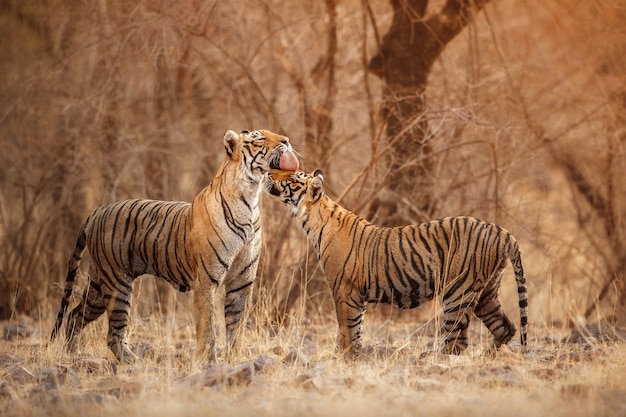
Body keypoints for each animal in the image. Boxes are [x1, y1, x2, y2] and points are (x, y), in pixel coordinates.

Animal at [50, 128, 298, 362]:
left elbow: (236, 326)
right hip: (117, 284)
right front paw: (208, 361)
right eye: (259, 139)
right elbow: (207, 326)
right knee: (113, 334)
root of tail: (97, 211)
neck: (251, 198)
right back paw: (135, 363)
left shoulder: (242, 281)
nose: (287, 140)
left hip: (99, 285)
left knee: (74, 315)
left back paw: (72, 354)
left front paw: (234, 359)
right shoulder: (205, 280)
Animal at [266, 167, 524, 356]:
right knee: (505, 327)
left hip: (458, 292)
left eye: (291, 177)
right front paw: (354, 358)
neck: (313, 220)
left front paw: (344, 358)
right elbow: (356, 331)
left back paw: (433, 360)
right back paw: (489, 356)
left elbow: (346, 331)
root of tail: (501, 232)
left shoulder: (344, 292)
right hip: (485, 293)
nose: (268, 173)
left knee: (457, 340)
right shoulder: (358, 297)